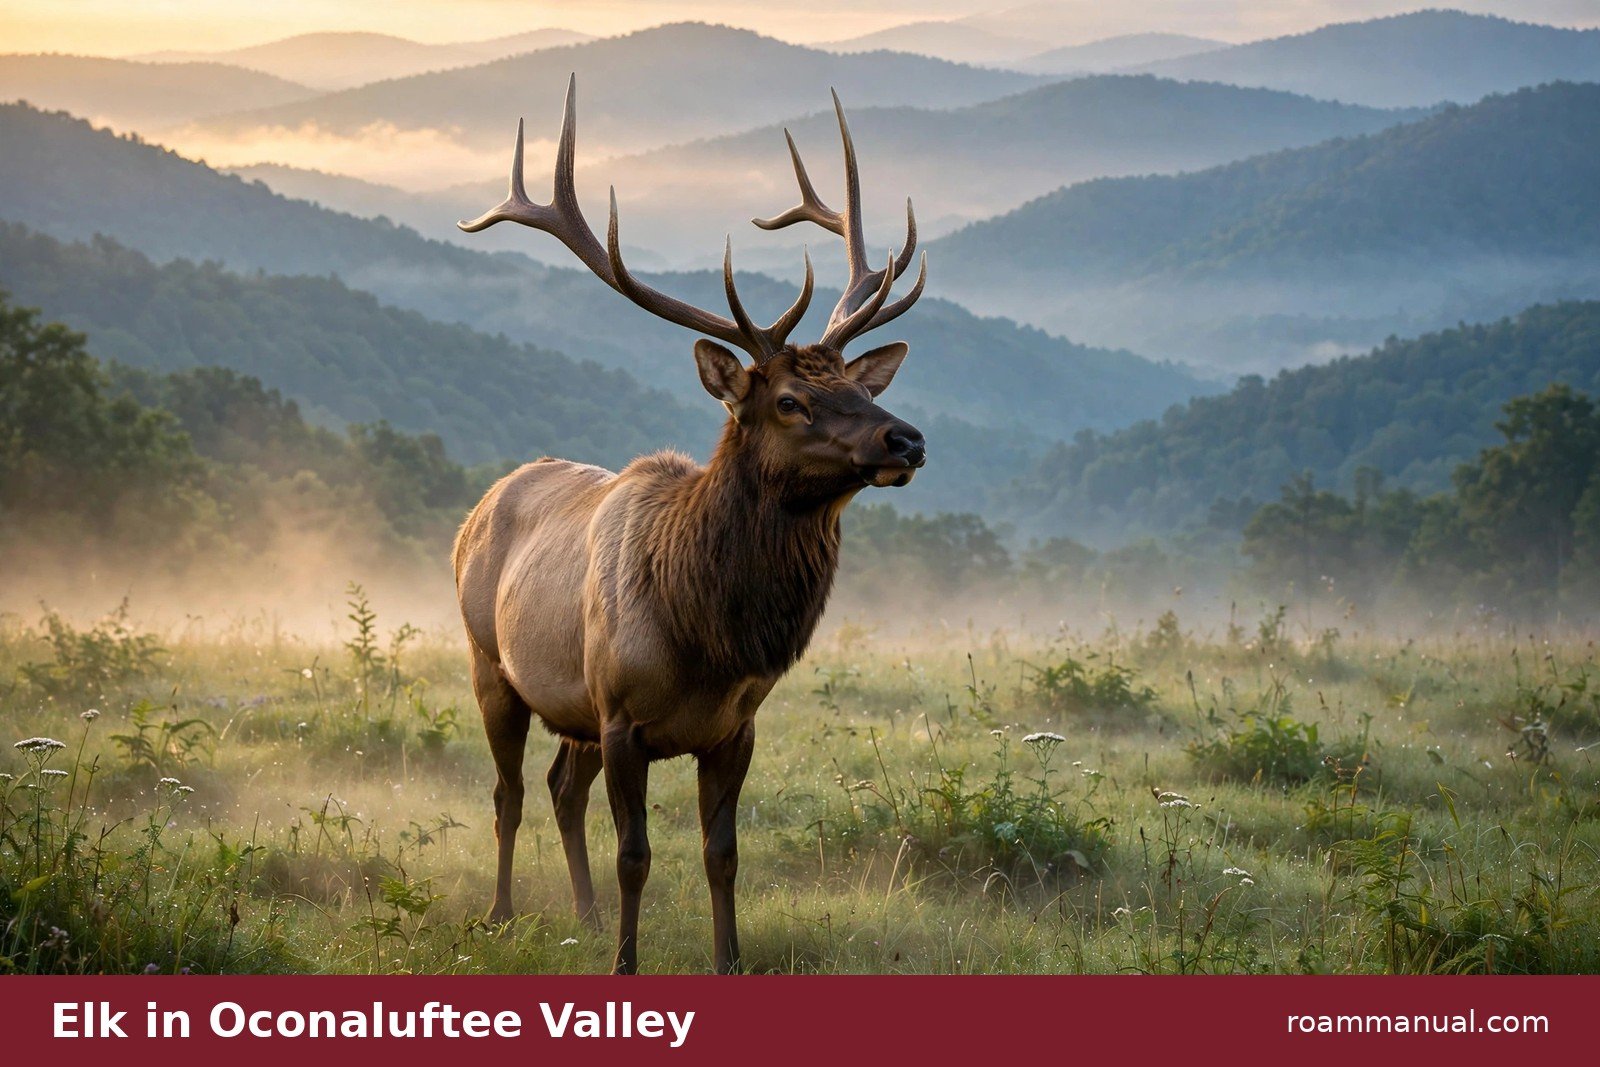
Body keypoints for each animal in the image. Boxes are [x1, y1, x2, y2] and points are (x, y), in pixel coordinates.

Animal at [451, 75, 927, 974]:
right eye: (791, 401)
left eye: (859, 384)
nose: (907, 439)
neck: (708, 634)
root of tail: (482, 504)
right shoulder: (621, 715)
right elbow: (636, 854)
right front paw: (626, 965)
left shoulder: (735, 725)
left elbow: (722, 852)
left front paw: (727, 959)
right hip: (491, 661)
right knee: (509, 790)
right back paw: (499, 912)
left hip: (571, 702)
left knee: (562, 788)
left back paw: (585, 915)